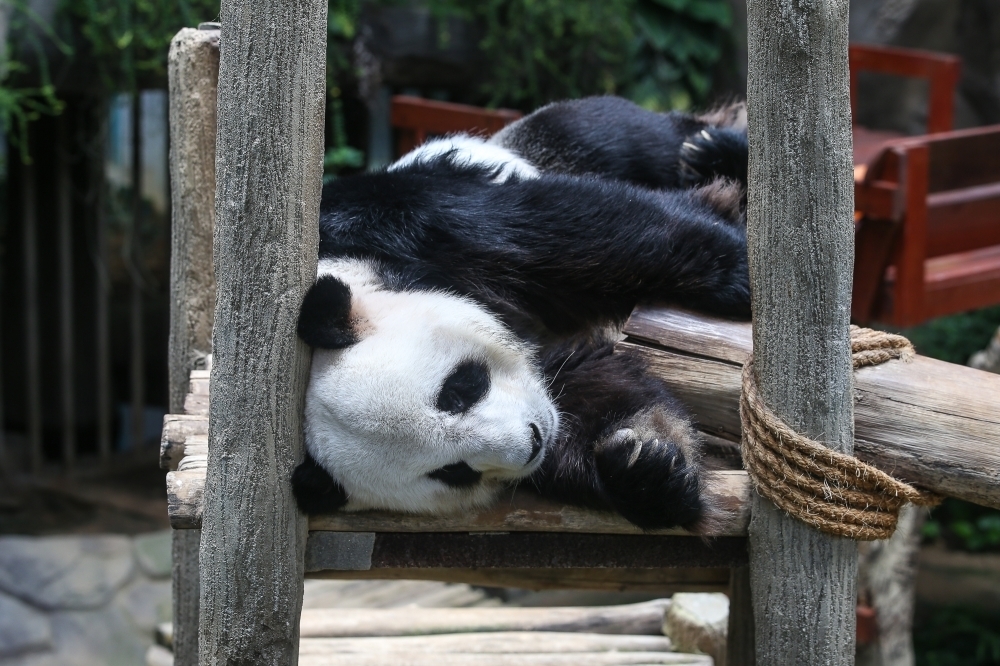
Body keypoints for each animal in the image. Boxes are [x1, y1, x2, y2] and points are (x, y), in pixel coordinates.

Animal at [292, 96, 750, 533]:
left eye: (459, 390)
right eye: (452, 472)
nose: (533, 440)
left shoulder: (406, 220)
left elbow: (592, 232)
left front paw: (741, 273)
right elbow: (601, 391)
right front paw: (646, 472)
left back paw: (713, 151)